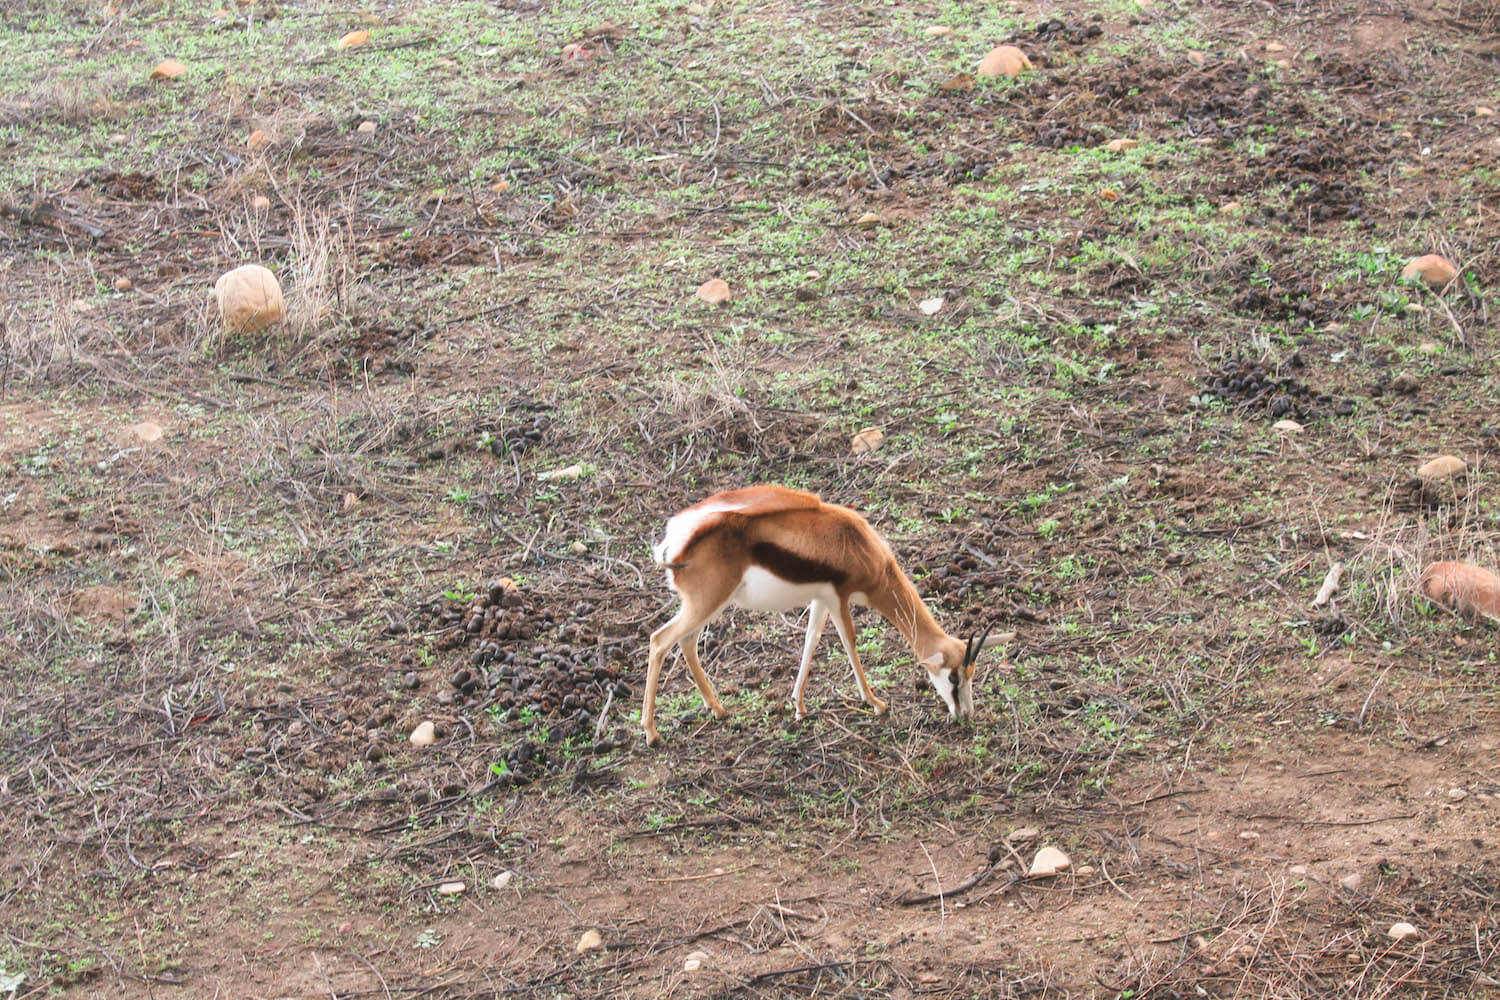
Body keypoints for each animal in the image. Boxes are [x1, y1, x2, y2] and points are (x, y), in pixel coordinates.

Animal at [639, 485, 1014, 743]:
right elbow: (849, 643)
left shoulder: (820, 599)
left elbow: (811, 641)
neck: (865, 550)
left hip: (708, 606)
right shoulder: (839, 597)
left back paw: (717, 709)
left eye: (972, 674)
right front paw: (876, 703)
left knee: (686, 642)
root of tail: (676, 541)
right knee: (659, 640)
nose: (964, 714)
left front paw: (799, 706)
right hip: (707, 603)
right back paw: (652, 732)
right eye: (954, 678)